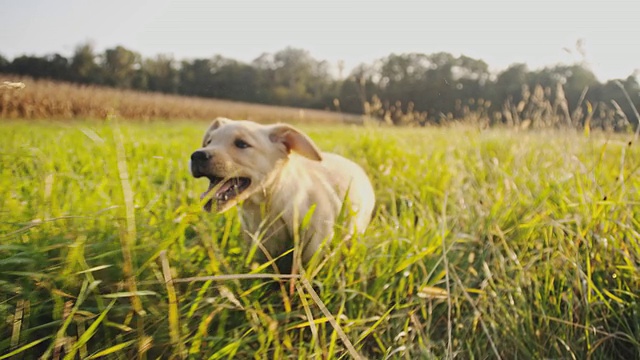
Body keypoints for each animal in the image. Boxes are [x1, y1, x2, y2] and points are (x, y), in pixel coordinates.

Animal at [192, 118, 378, 270]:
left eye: (242, 144)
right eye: (208, 142)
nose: (197, 155)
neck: (268, 207)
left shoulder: (314, 251)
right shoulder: (258, 250)